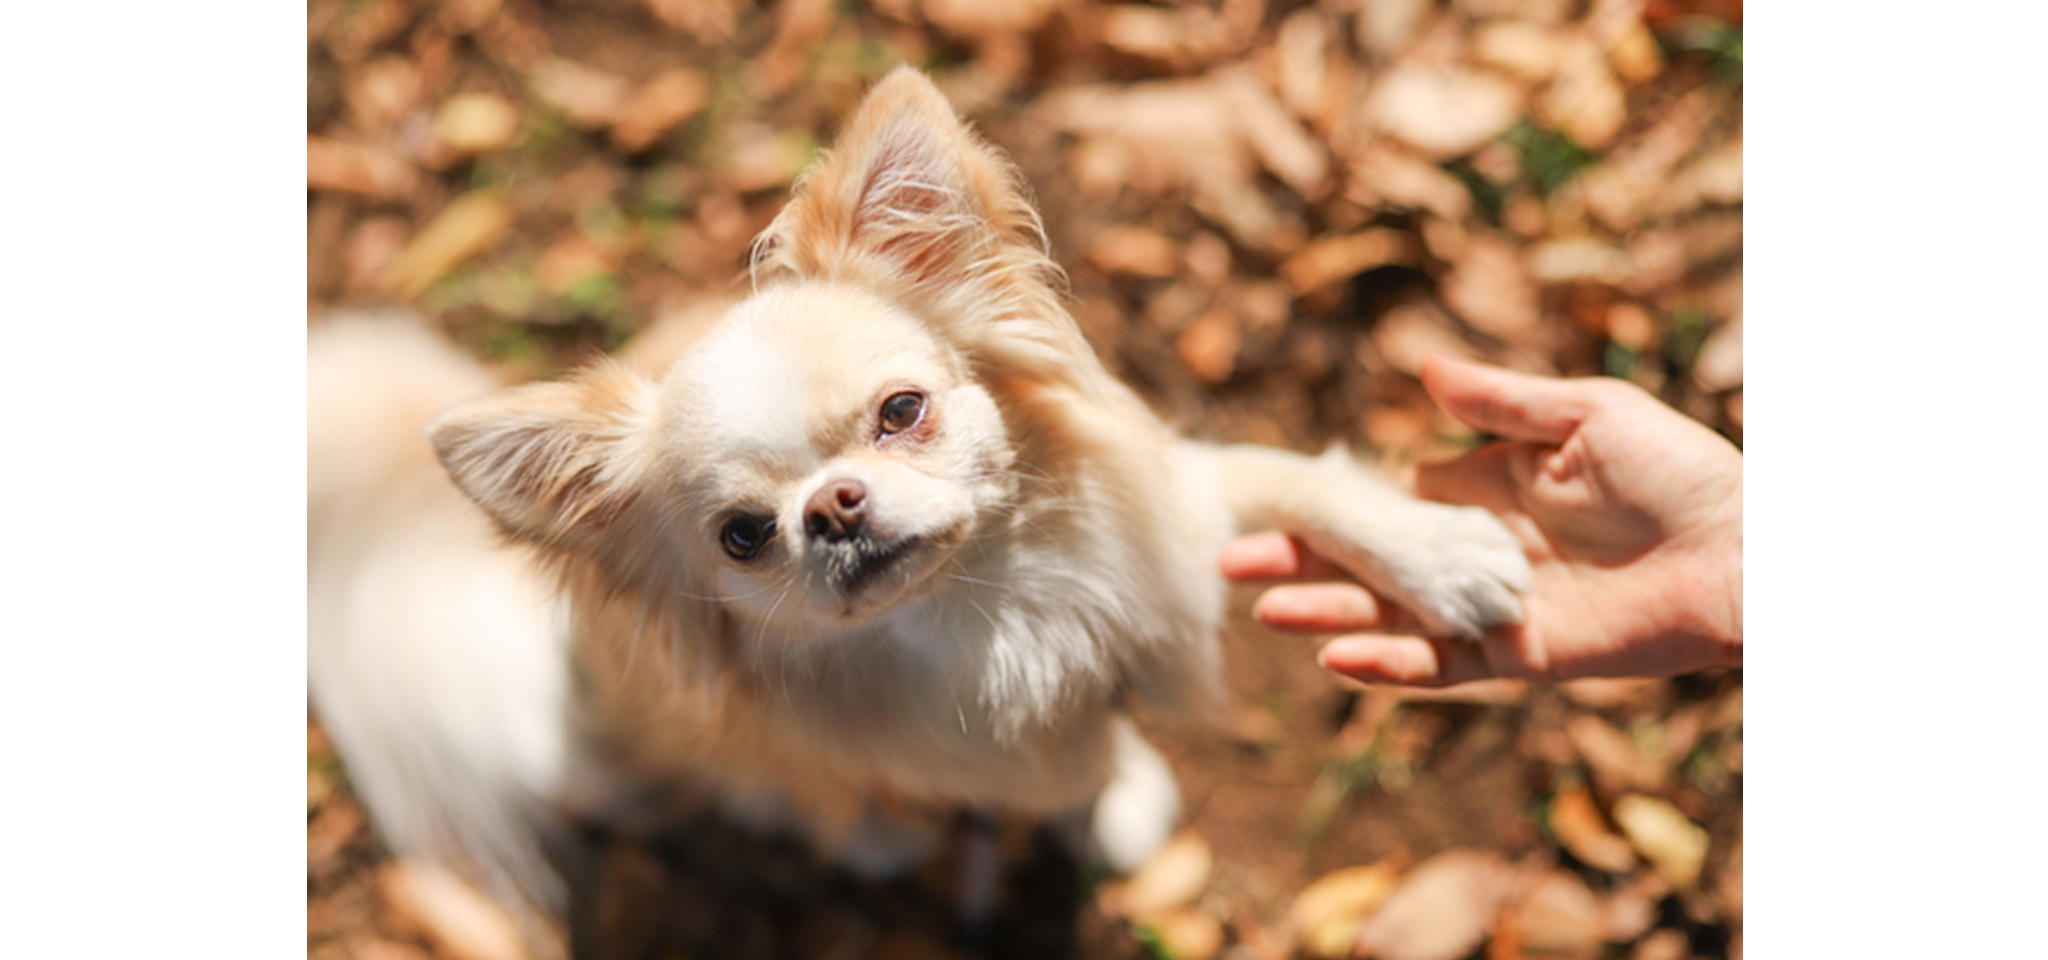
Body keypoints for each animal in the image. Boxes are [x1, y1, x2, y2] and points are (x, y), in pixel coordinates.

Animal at [299, 67, 1523, 921]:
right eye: (742, 536)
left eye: (900, 412)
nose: (832, 506)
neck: (989, 609)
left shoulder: (1192, 504)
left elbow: (1309, 484)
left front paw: (1447, 558)